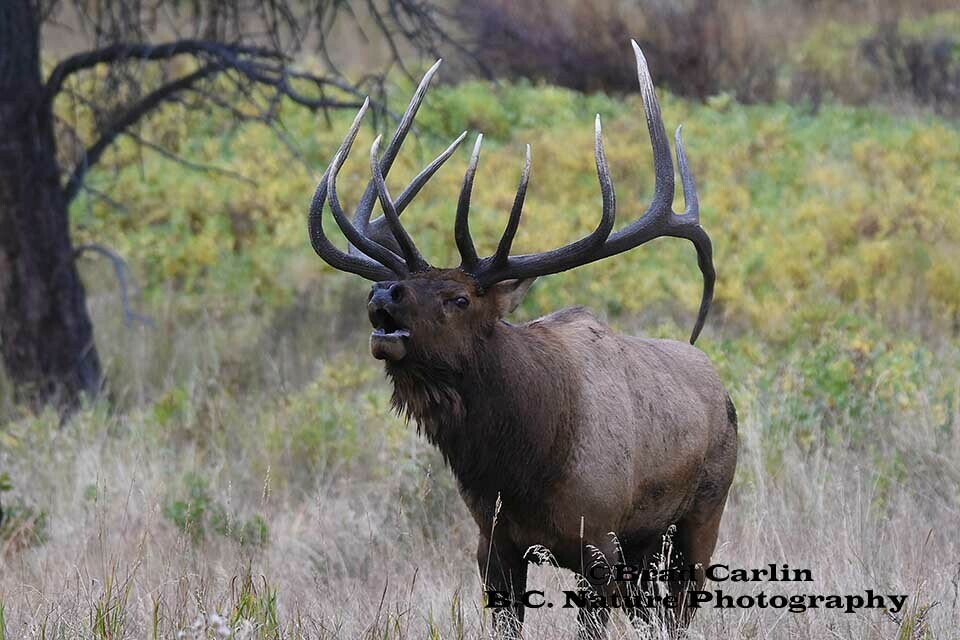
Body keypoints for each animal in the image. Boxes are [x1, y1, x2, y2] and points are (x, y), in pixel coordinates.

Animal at [305, 41, 738, 637]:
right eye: (394, 285)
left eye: (459, 298)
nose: (382, 293)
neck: (523, 463)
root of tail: (721, 387)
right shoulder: (492, 543)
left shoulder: (598, 540)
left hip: (702, 516)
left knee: (681, 607)